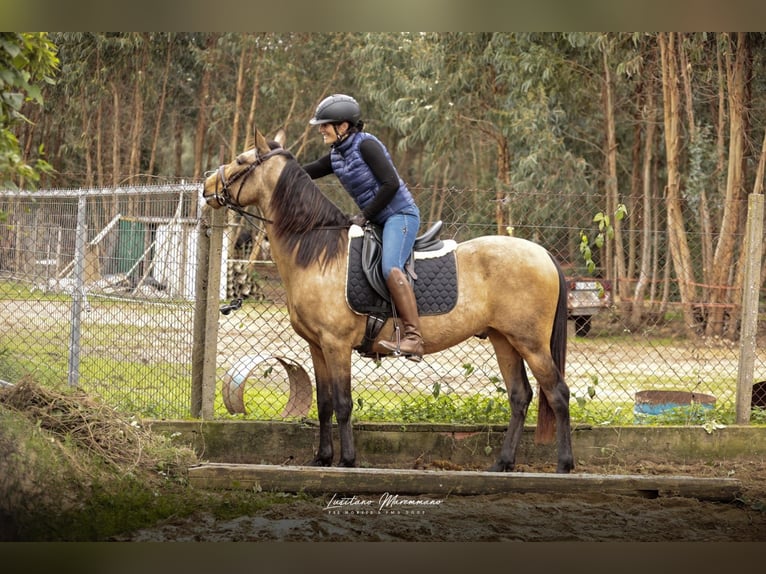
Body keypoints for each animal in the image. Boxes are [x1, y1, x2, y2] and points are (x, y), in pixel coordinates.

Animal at [203, 129, 574, 474]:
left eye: (240, 160)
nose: (207, 187)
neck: (319, 251)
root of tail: (543, 253)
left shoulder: (336, 344)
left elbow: (343, 403)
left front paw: (347, 461)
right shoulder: (317, 346)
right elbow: (324, 403)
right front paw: (322, 458)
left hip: (530, 343)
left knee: (557, 393)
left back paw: (564, 465)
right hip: (504, 339)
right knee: (520, 396)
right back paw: (503, 463)